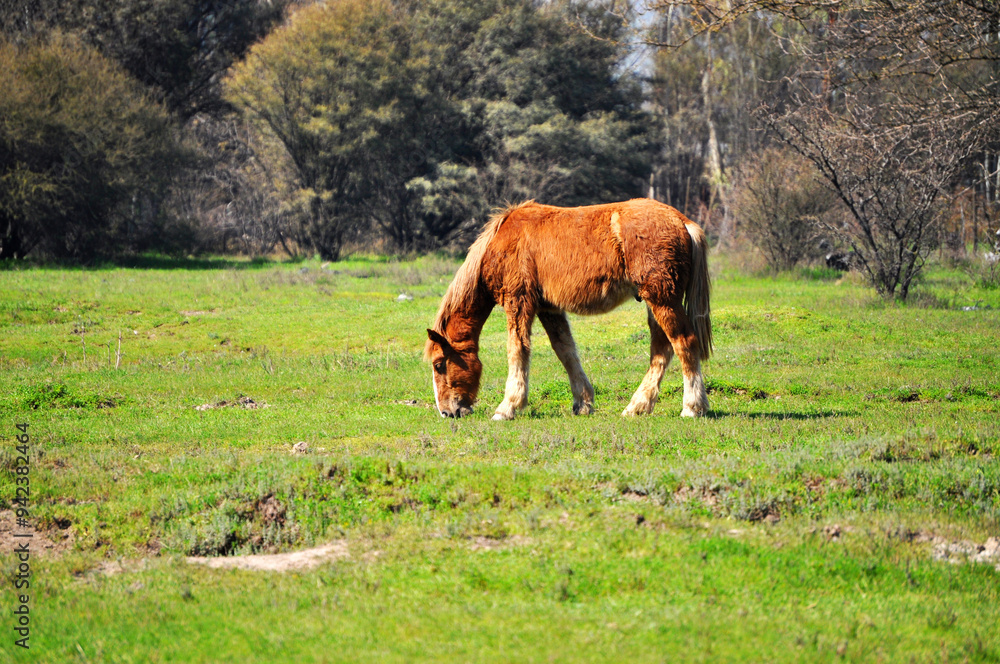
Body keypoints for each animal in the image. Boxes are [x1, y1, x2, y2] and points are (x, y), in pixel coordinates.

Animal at [425, 198, 713, 420]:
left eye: (439, 365)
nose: (446, 412)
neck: (502, 242)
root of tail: (683, 222)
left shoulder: (518, 302)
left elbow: (517, 350)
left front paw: (507, 408)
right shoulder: (549, 309)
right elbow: (565, 351)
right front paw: (583, 402)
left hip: (662, 300)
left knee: (684, 343)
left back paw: (691, 407)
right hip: (656, 303)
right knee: (661, 350)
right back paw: (637, 406)